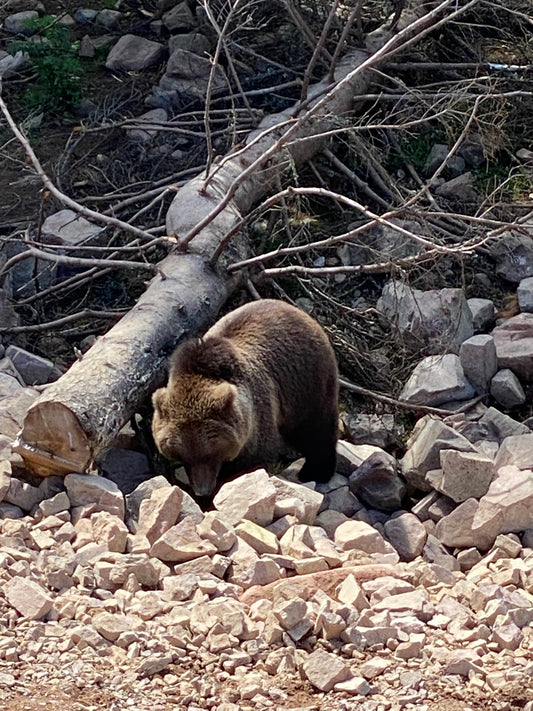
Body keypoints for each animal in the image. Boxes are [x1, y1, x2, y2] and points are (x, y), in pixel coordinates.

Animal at [152, 298, 338, 498]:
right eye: (181, 455)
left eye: (210, 452)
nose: (203, 491)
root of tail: (294, 308)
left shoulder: (256, 420)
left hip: (306, 383)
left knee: (316, 428)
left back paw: (315, 471)